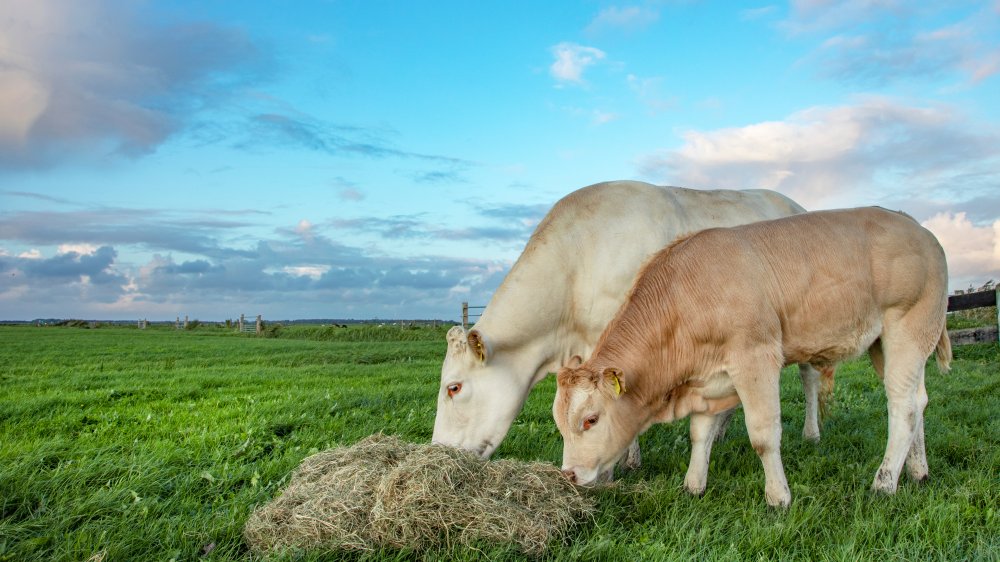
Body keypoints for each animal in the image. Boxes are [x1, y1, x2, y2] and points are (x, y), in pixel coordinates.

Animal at [434, 179, 832, 468]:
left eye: (454, 387)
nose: (438, 452)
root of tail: (795, 204)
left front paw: (627, 460)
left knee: (809, 376)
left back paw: (812, 434)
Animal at [556, 206, 952, 504]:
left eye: (590, 419)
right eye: (559, 423)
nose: (569, 475)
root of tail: (913, 224)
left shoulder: (755, 357)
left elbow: (763, 435)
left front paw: (778, 497)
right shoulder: (708, 378)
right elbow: (700, 433)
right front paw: (693, 485)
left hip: (908, 327)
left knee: (903, 406)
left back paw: (884, 482)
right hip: (883, 343)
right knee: (918, 400)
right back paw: (917, 471)